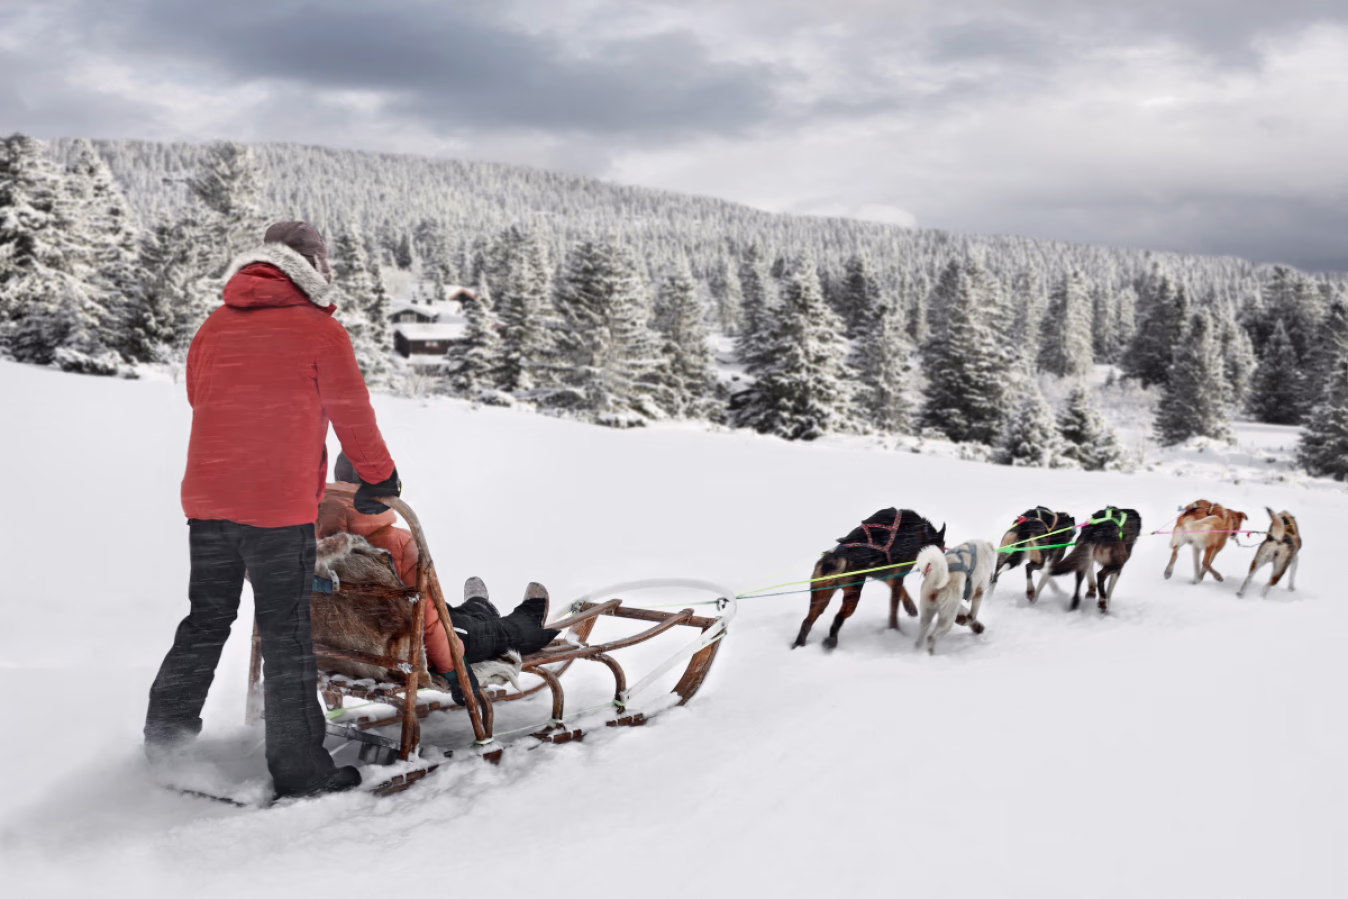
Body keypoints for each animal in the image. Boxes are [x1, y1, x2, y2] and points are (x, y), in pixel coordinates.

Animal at [793, 508, 945, 650]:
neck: (922, 531)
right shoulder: (897, 575)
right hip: (852, 596)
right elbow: (894, 610)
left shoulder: (885, 574)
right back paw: (831, 641)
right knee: (837, 618)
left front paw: (910, 607)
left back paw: (798, 645)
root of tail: (837, 558)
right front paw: (895, 630)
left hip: (820, 597)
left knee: (807, 622)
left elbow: (900, 590)